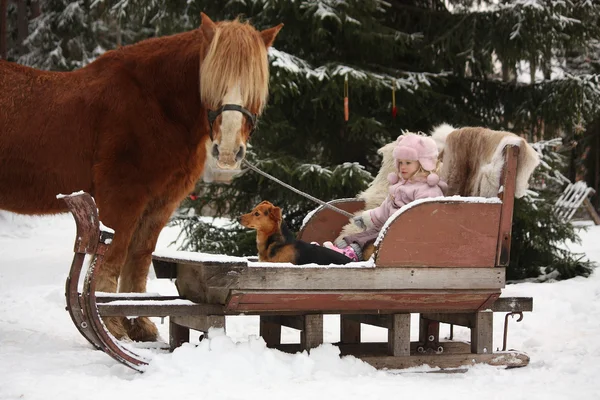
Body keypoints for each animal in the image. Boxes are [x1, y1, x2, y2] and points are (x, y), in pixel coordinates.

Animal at [0, 14, 284, 342]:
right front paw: (113, 327)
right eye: (213, 82)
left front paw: (139, 323)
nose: (226, 151)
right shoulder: (122, 199)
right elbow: (112, 260)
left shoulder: (159, 204)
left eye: (253, 88)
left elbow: (138, 261)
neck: (156, 104)